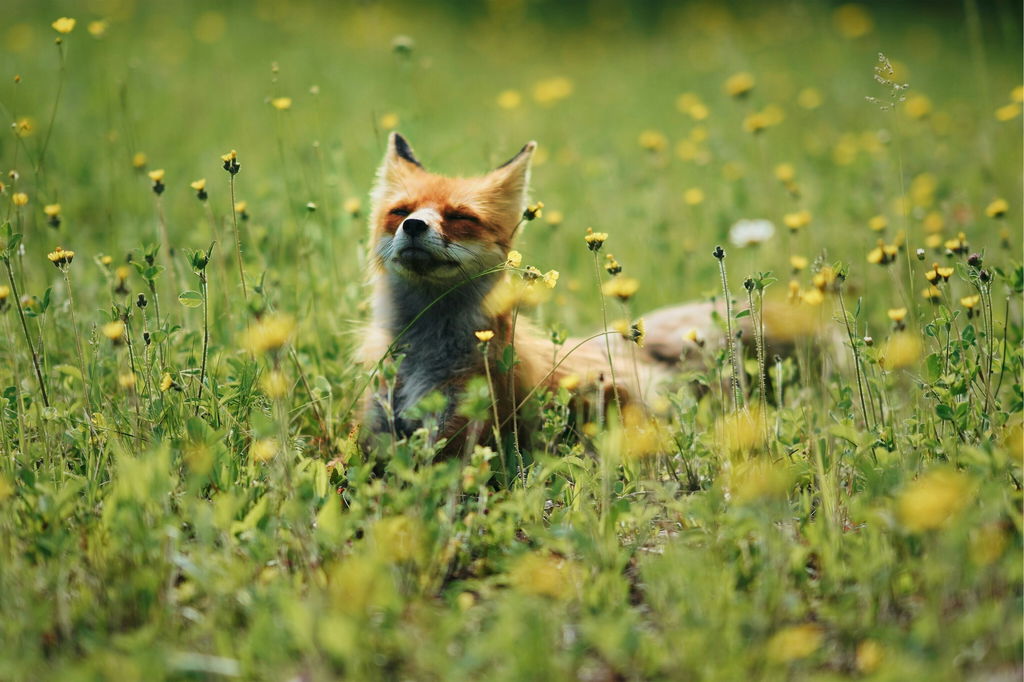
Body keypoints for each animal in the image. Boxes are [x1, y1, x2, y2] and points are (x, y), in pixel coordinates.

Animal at [359, 132, 799, 453]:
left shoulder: (465, 424)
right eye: (400, 212)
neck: (425, 354)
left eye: (460, 217)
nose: (414, 226)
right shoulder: (378, 422)